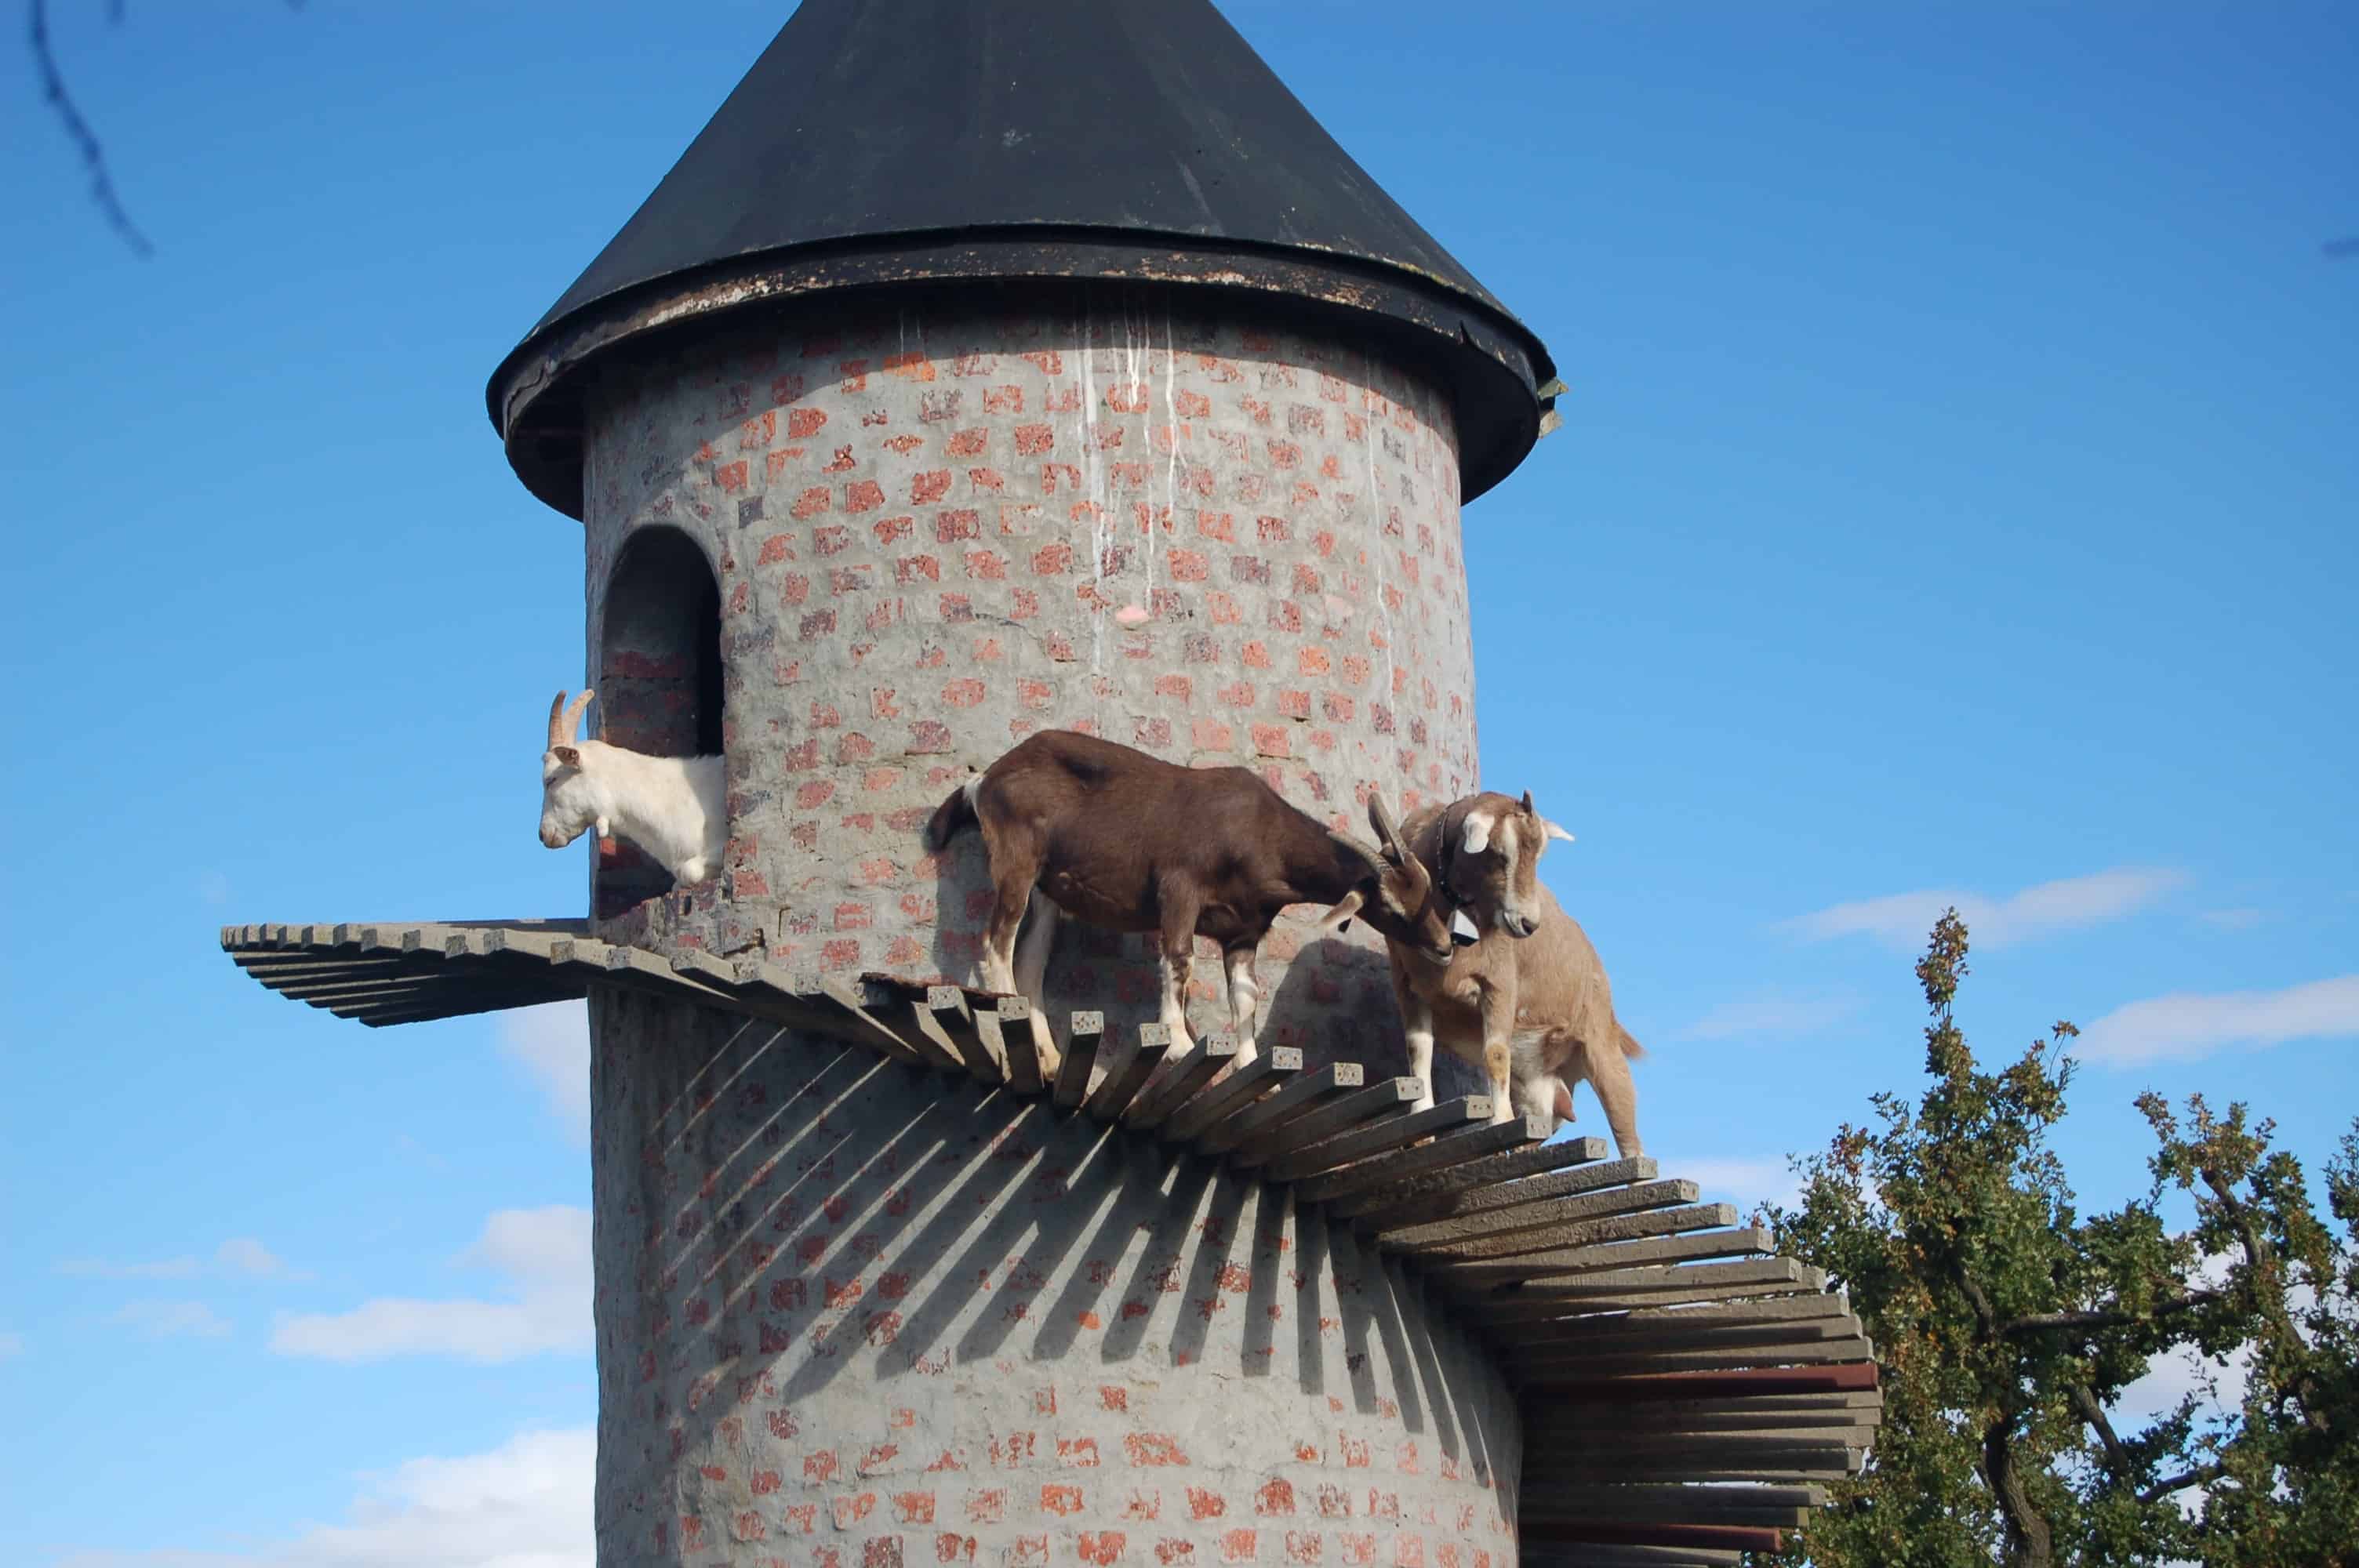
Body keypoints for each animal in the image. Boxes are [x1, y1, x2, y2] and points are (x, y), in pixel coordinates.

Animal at [925, 729, 1461, 1072]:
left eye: (1428, 888)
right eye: (1390, 905)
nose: (1443, 947)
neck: (1259, 831)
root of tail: (984, 780)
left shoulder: (1243, 932)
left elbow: (1244, 995)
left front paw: (1249, 1064)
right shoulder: (1179, 888)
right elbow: (1179, 959)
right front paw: (1179, 1042)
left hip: (1047, 891)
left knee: (1031, 962)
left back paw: (1051, 1057)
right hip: (1016, 860)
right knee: (997, 941)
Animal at [1353, 790, 1646, 1157]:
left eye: (1539, 857)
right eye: (1499, 854)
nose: (1529, 924)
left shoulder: (1500, 985)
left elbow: (1495, 1054)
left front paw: (1499, 1122)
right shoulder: (1408, 985)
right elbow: (1418, 1049)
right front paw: (1420, 1127)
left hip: (1601, 1046)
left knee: (1629, 1133)